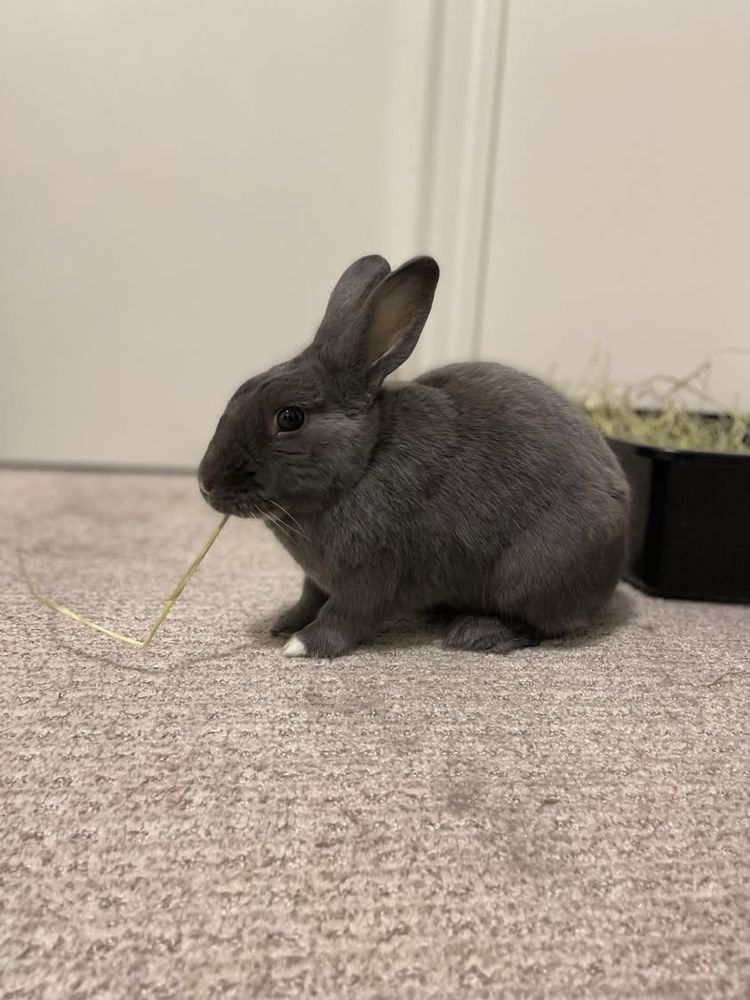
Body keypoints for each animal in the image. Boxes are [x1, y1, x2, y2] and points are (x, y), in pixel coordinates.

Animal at [198, 254, 630, 659]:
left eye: (290, 418)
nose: (205, 483)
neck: (363, 463)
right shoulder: (318, 578)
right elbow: (309, 598)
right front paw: (285, 623)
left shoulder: (370, 577)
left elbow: (344, 616)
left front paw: (302, 645)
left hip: (531, 576)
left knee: (541, 626)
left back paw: (475, 632)